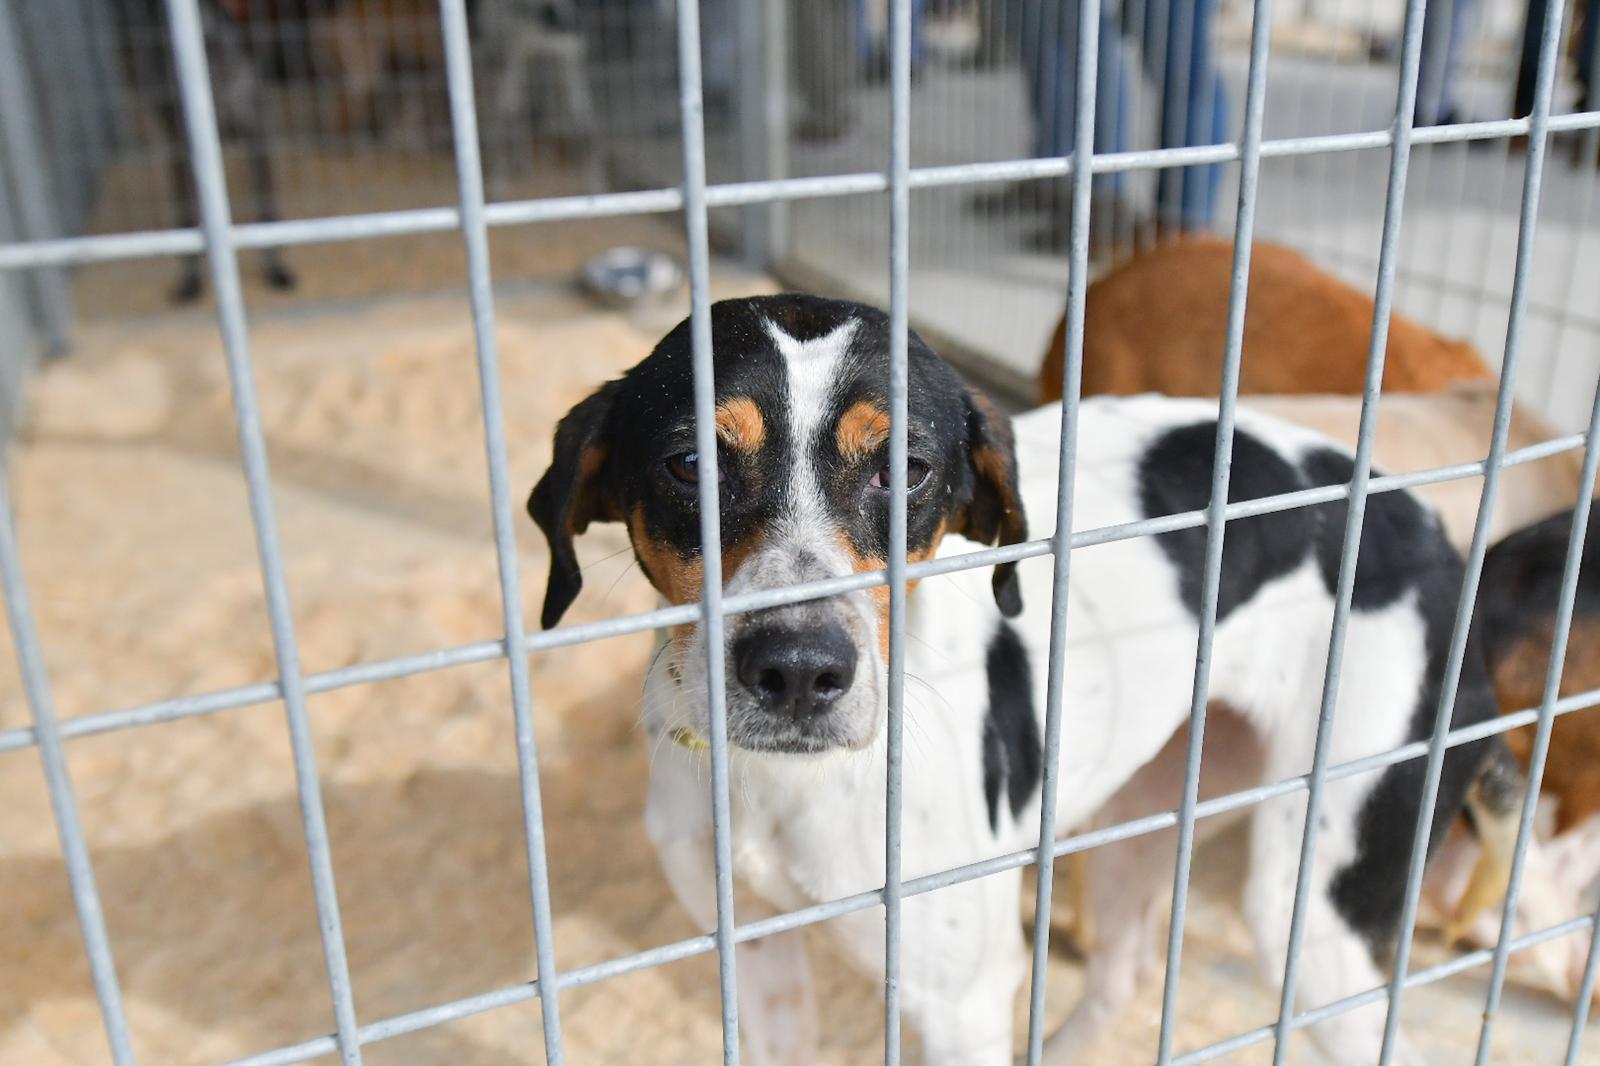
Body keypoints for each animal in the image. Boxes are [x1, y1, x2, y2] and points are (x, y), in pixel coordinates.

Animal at [531, 292, 1516, 1062]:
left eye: (907, 469)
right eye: (690, 463)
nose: (800, 669)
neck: (786, 786)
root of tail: (1428, 526)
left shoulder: (960, 1008)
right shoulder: (758, 960)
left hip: (1311, 914)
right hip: (1142, 816)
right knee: (1122, 973)